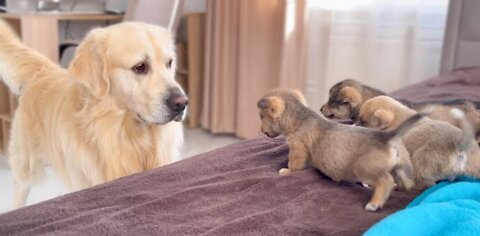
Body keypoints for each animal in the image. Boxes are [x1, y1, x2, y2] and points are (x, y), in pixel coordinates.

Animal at [0, 20, 188, 208]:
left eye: (169, 63)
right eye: (140, 67)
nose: (182, 103)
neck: (129, 138)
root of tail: (44, 72)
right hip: (25, 168)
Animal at [258, 88, 424, 212]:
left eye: (261, 116)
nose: (262, 131)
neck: (299, 119)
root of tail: (388, 136)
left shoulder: (297, 150)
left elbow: (294, 166)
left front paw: (286, 171)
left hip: (363, 167)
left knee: (386, 181)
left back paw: (374, 203)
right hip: (402, 166)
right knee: (406, 183)